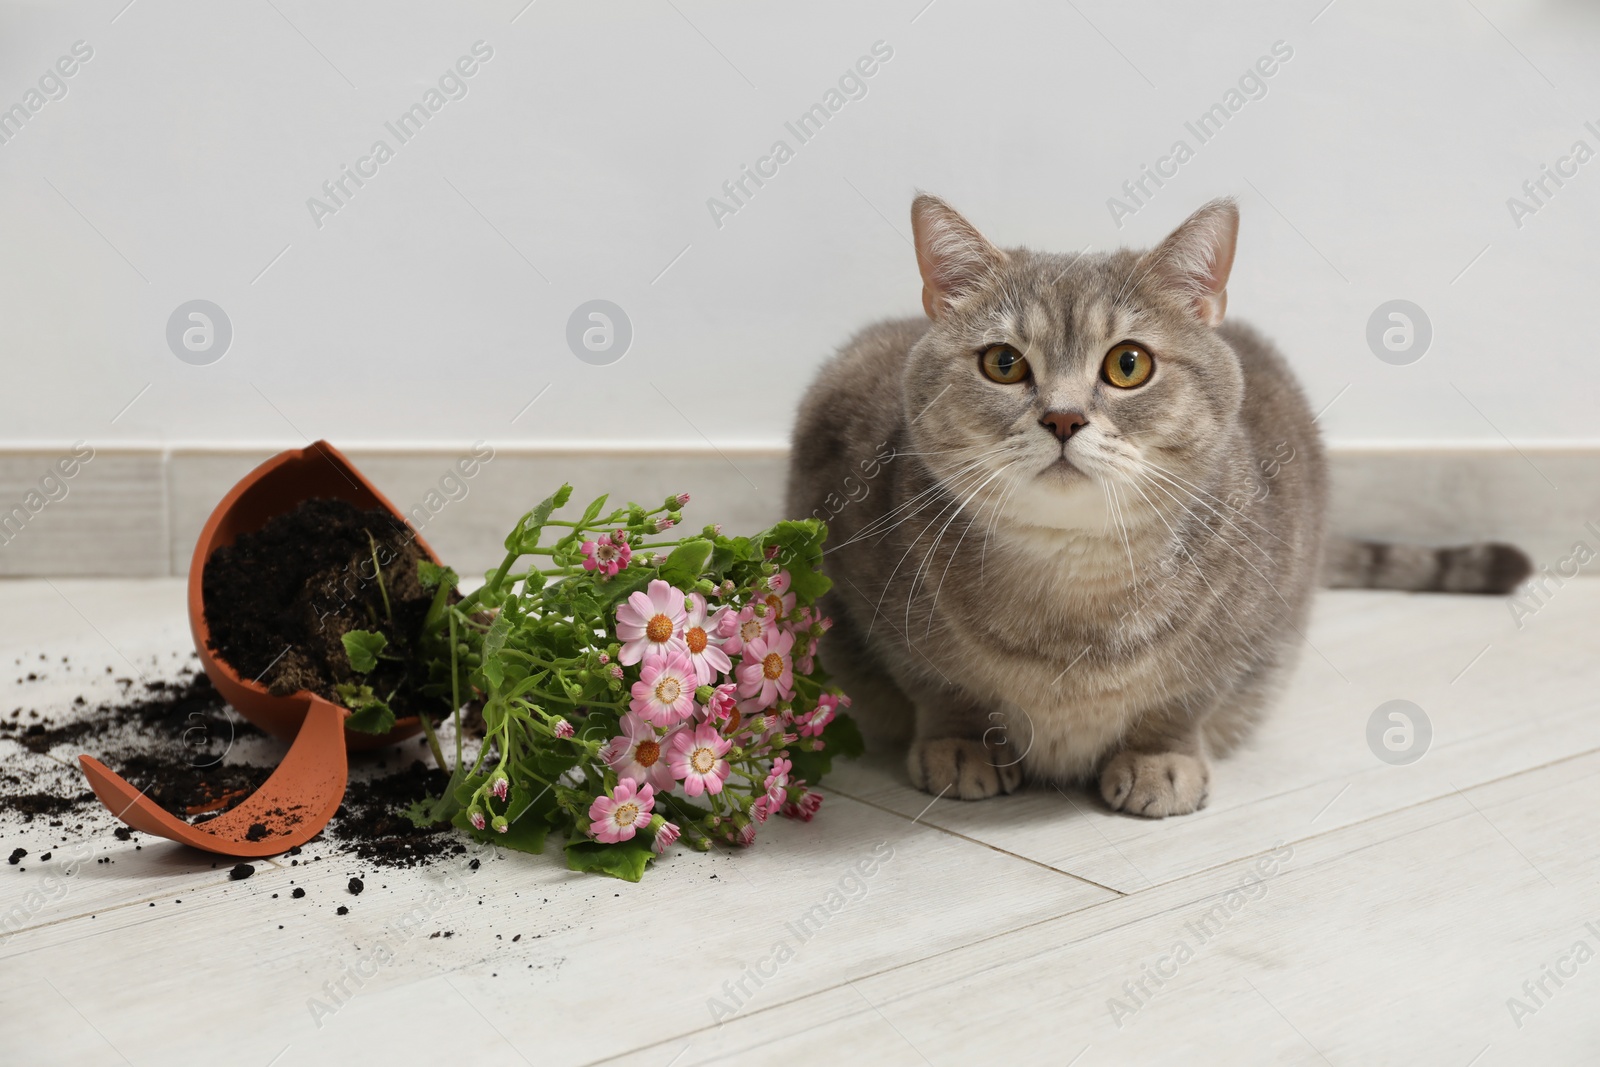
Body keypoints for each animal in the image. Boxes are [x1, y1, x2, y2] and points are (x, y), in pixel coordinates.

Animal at [787, 195, 1523, 819]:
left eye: (1128, 364)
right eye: (1003, 363)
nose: (1062, 418)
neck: (1073, 583)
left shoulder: (1249, 622)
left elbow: (1183, 698)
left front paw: (1158, 758)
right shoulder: (874, 596)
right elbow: (938, 683)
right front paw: (961, 742)